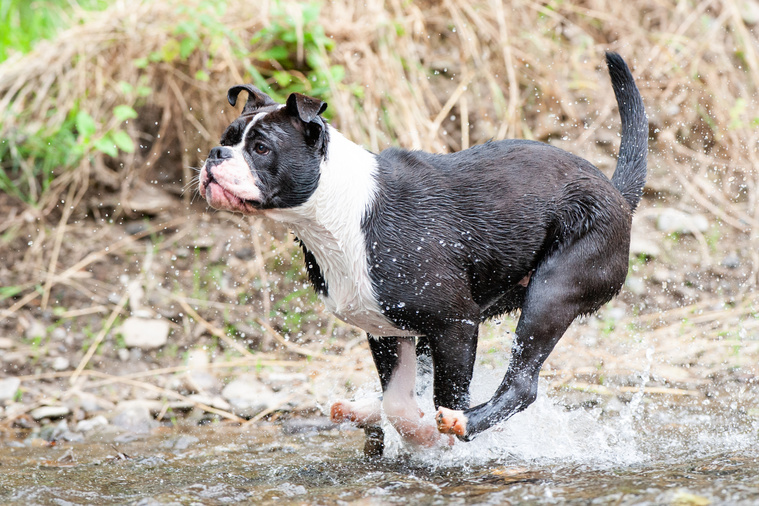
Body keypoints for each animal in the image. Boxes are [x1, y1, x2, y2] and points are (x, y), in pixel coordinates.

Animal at [200, 51, 648, 454]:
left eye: (260, 148)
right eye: (226, 140)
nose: (214, 154)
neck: (337, 210)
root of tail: (617, 194)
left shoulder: (456, 323)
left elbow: (441, 396)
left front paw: (435, 438)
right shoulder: (388, 331)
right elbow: (397, 401)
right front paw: (414, 430)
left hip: (551, 292)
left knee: (521, 384)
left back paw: (464, 422)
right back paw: (365, 410)